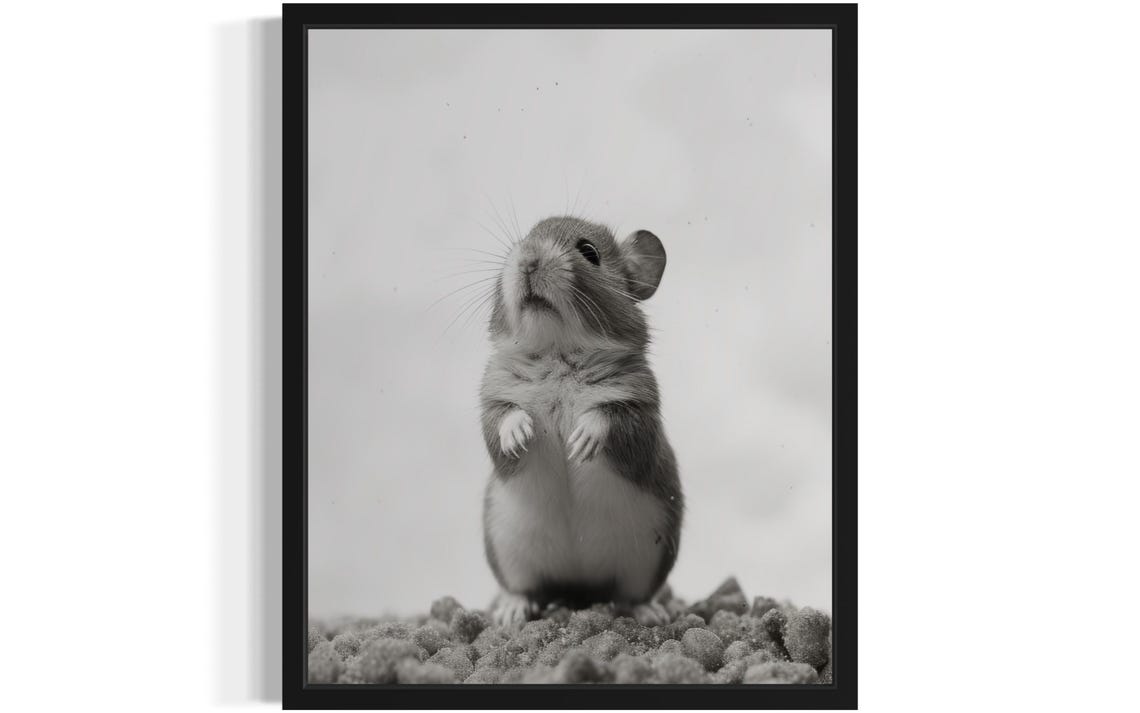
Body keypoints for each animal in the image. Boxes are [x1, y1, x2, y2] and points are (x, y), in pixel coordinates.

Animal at [479, 215, 683, 627]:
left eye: (589, 252)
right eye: (524, 239)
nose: (528, 259)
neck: (557, 351)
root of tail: (579, 586)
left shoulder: (640, 411)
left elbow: (607, 418)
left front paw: (582, 439)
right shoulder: (491, 398)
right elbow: (502, 421)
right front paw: (519, 433)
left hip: (646, 562)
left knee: (630, 595)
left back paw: (650, 612)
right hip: (510, 553)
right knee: (524, 588)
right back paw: (511, 610)